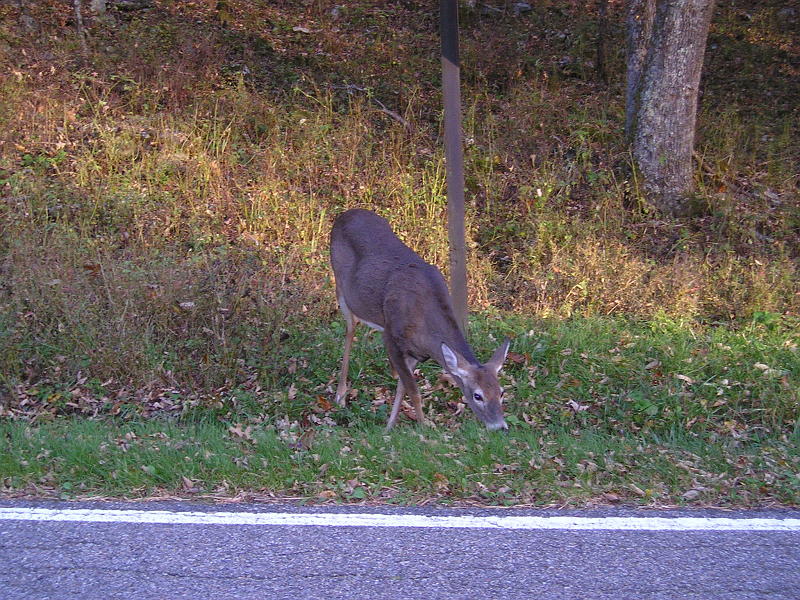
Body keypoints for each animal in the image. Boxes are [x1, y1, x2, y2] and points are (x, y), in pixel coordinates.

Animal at [328, 209, 510, 428]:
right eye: (477, 395)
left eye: (501, 392)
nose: (500, 427)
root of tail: (345, 214)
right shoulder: (391, 337)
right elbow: (413, 391)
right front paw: (423, 427)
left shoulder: (415, 352)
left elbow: (403, 388)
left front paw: (389, 427)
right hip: (341, 287)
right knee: (350, 329)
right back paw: (340, 395)